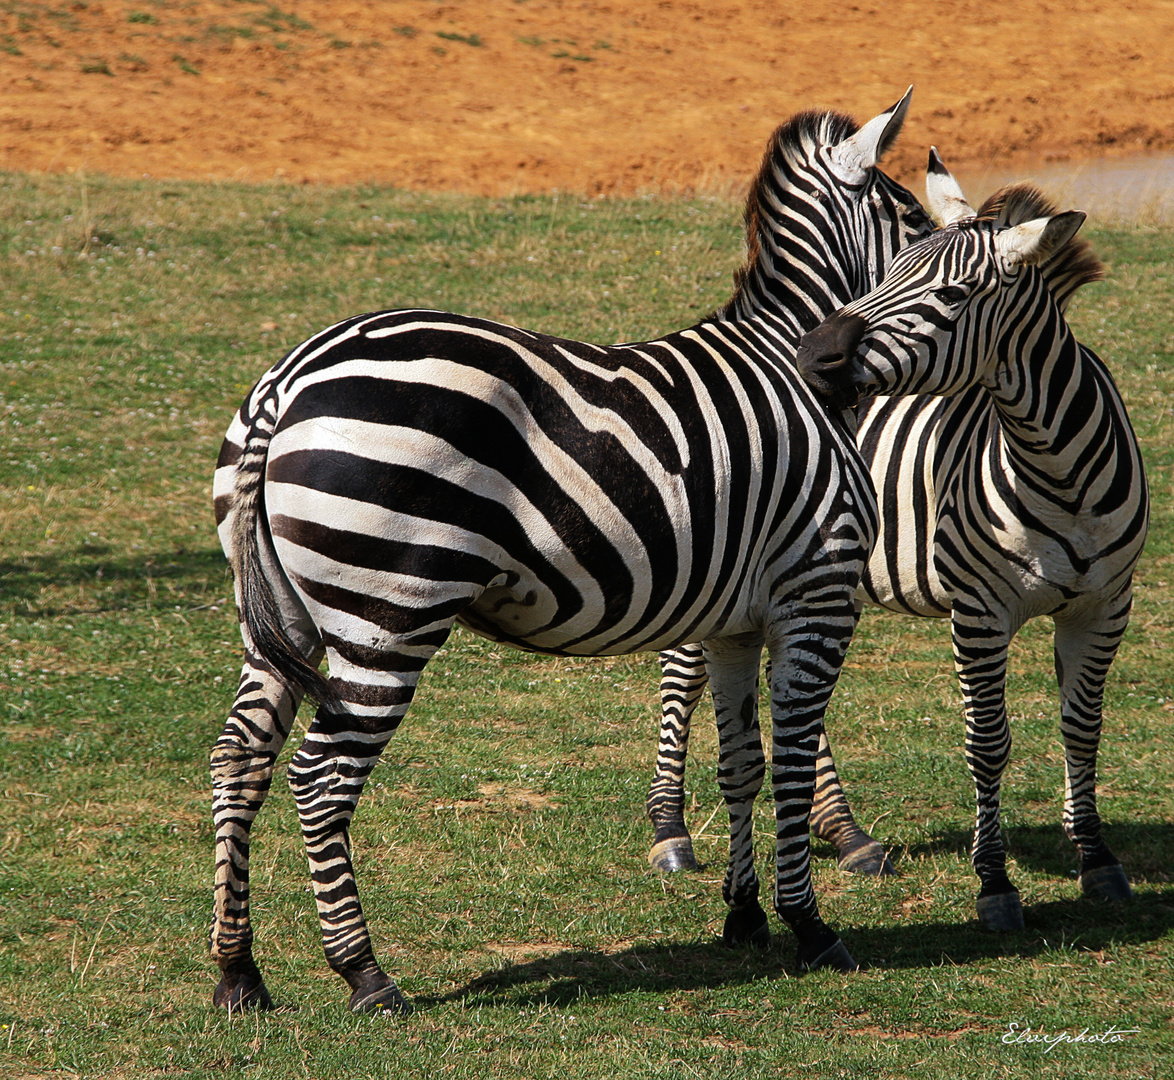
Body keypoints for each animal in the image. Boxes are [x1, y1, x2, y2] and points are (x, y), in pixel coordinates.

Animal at [204, 92, 943, 1014]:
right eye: (914, 224)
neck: (794, 367)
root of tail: (288, 380)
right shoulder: (818, 593)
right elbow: (794, 764)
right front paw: (811, 927)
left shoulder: (737, 617)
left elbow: (744, 763)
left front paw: (743, 918)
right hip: (389, 613)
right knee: (320, 778)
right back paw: (365, 974)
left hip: (280, 617)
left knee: (239, 760)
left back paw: (238, 971)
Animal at [793, 158, 1150, 929]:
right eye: (889, 272)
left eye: (953, 295)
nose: (812, 354)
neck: (1058, 468)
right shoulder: (981, 614)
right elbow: (988, 744)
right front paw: (994, 882)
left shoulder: (1105, 605)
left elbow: (1083, 726)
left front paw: (1096, 859)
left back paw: (838, 828)